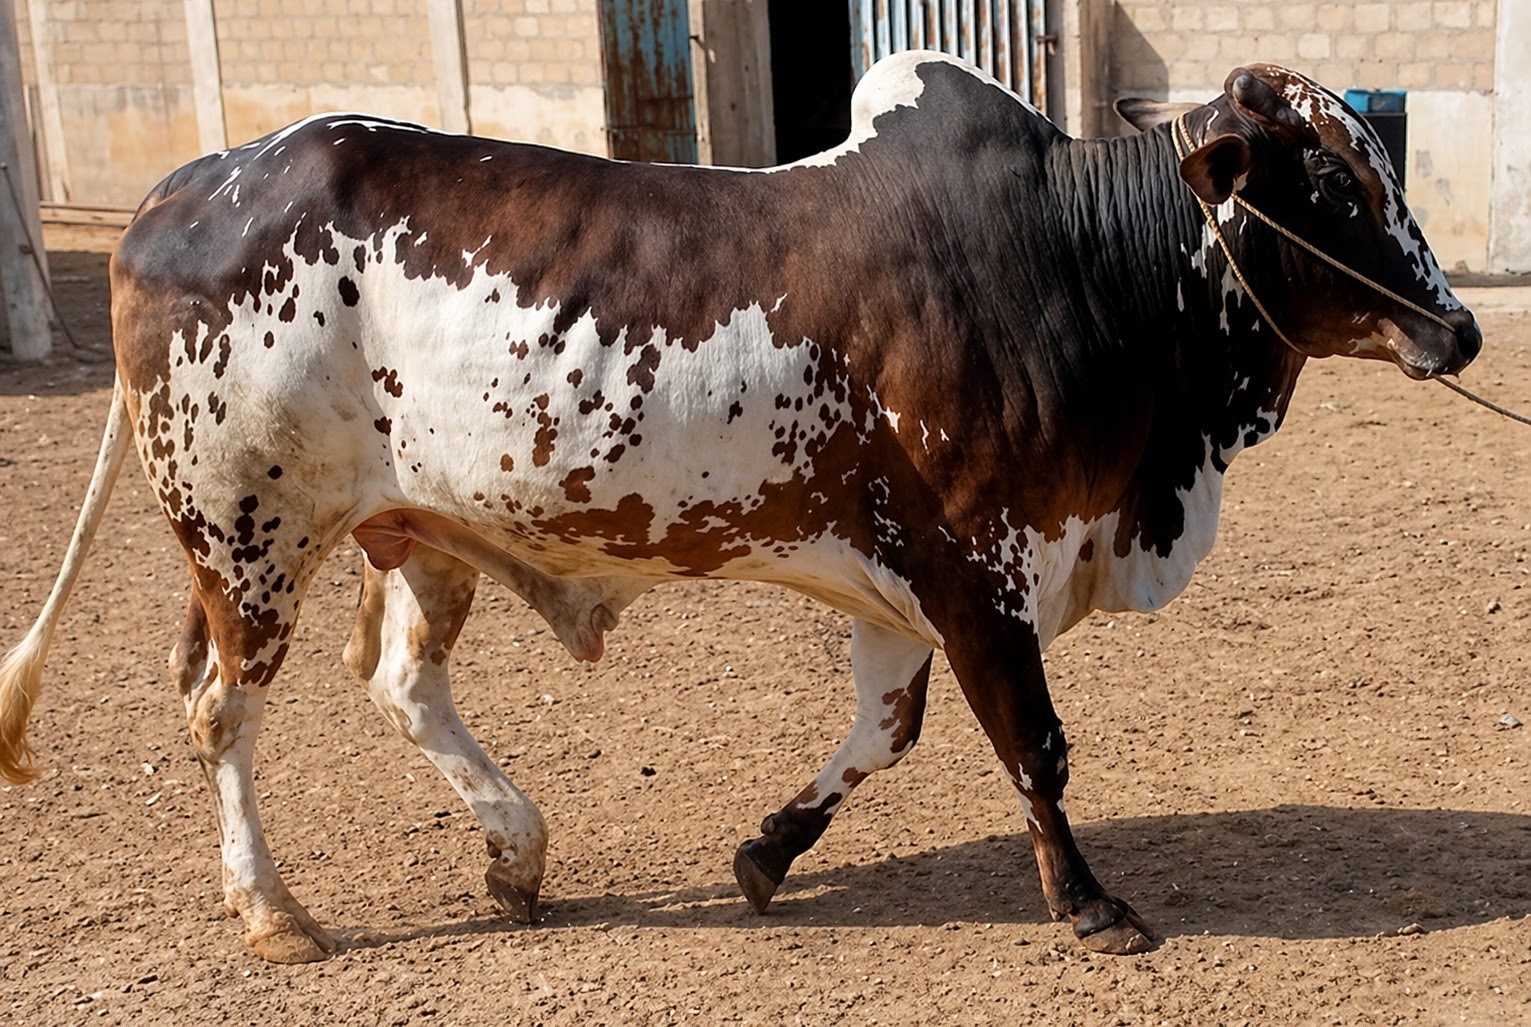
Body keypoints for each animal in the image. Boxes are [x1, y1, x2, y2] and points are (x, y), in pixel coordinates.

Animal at [0, 52, 1480, 962]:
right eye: (1330, 184)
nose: (1460, 327)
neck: (1074, 264)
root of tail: (187, 187)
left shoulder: (907, 583)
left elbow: (882, 734)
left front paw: (767, 851)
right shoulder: (979, 565)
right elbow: (1034, 748)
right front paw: (1089, 901)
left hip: (416, 533)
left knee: (401, 682)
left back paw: (516, 852)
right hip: (248, 538)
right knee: (222, 713)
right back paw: (274, 912)